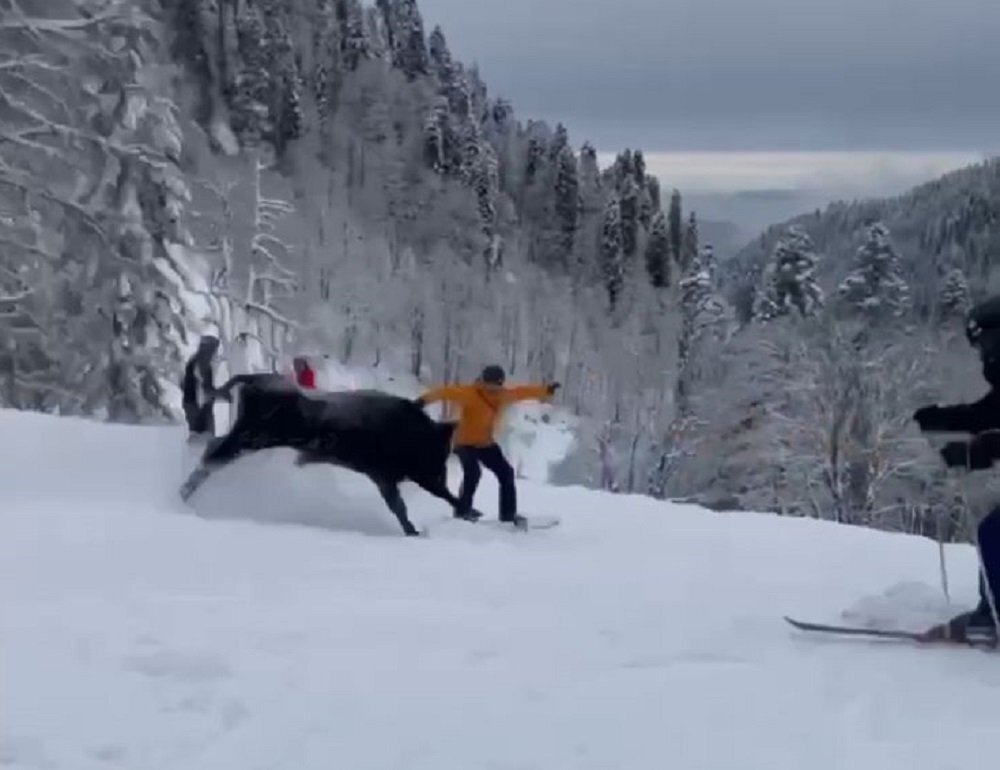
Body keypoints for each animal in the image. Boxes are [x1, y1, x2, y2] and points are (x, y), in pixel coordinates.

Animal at [181, 374, 460, 536]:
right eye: (437, 449)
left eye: (444, 450)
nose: (442, 472)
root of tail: (254, 381)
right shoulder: (388, 476)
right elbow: (404, 505)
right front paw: (418, 529)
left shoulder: (390, 477)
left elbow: (405, 504)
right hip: (246, 440)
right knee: (210, 459)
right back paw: (183, 495)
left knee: (210, 453)